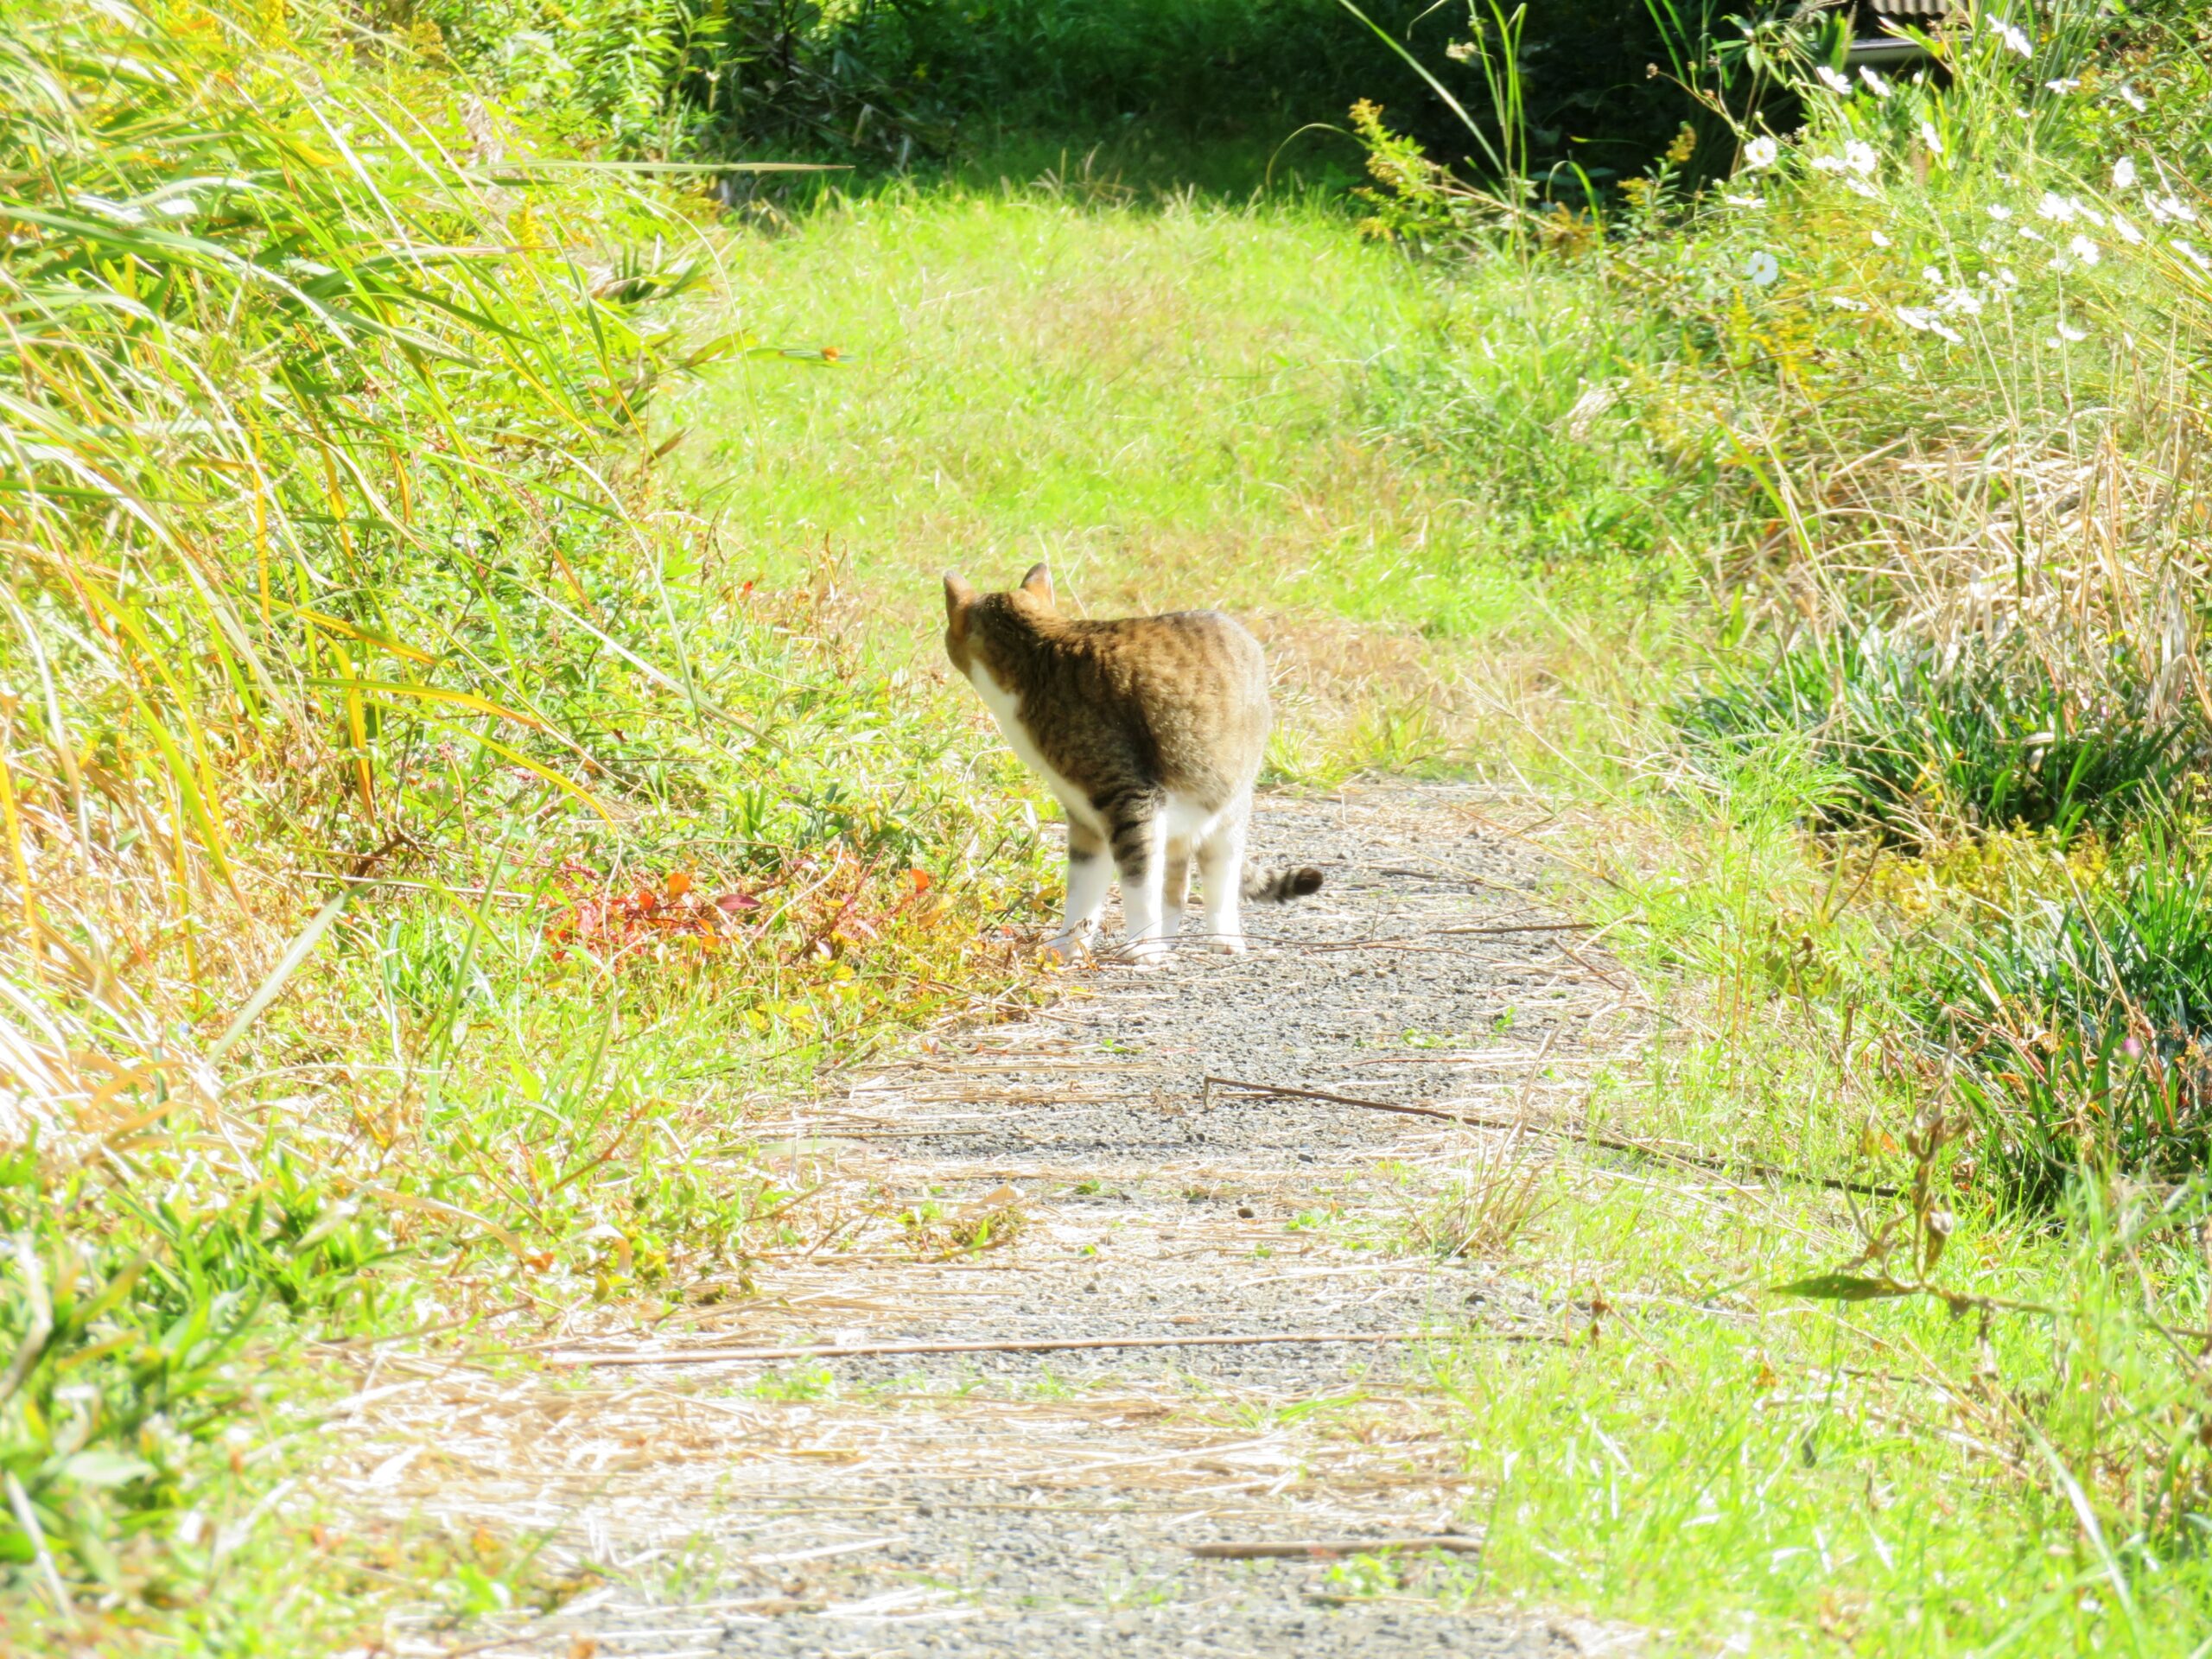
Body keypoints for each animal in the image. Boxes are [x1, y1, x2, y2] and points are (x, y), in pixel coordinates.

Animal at [942, 566, 1318, 969]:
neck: (1038, 654)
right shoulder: (1084, 816)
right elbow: (1084, 887)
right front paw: (1069, 946)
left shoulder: (1130, 799)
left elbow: (1139, 882)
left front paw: (1140, 947)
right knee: (1177, 886)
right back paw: (1166, 940)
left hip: (1226, 808)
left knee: (1220, 880)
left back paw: (1221, 938)